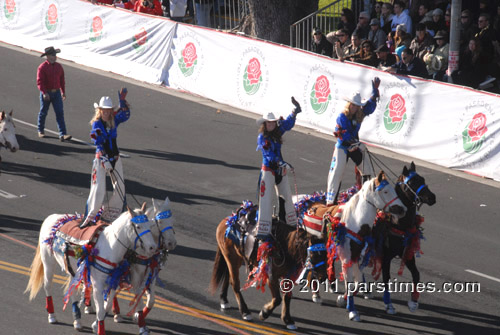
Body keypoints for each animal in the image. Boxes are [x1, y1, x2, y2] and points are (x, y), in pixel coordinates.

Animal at [25, 203, 157, 335]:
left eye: (150, 225)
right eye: (138, 226)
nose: (152, 247)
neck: (110, 247)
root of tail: (51, 218)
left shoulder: (113, 282)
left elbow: (107, 305)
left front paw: (95, 325)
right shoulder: (98, 284)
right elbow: (101, 309)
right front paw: (100, 329)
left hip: (73, 271)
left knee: (72, 291)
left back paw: (77, 321)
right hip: (48, 261)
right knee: (48, 286)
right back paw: (52, 316)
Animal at [106, 197, 177, 335]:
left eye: (172, 221)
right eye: (160, 221)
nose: (172, 243)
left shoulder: (152, 273)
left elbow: (151, 300)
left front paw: (138, 316)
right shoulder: (135, 275)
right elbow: (138, 297)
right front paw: (141, 324)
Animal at [209, 203, 326, 332]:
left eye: (327, 253)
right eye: (314, 254)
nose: (323, 277)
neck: (285, 246)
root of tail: (226, 221)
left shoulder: (288, 276)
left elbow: (287, 296)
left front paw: (287, 320)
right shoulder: (271, 277)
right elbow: (277, 299)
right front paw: (264, 313)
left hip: (236, 260)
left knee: (228, 278)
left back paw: (224, 300)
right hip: (231, 258)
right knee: (234, 283)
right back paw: (245, 312)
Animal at [376, 163, 436, 316]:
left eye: (423, 179)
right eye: (412, 182)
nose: (432, 197)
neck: (397, 224)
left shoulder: (408, 254)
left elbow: (416, 275)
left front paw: (414, 302)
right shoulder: (386, 257)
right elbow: (386, 279)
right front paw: (389, 304)